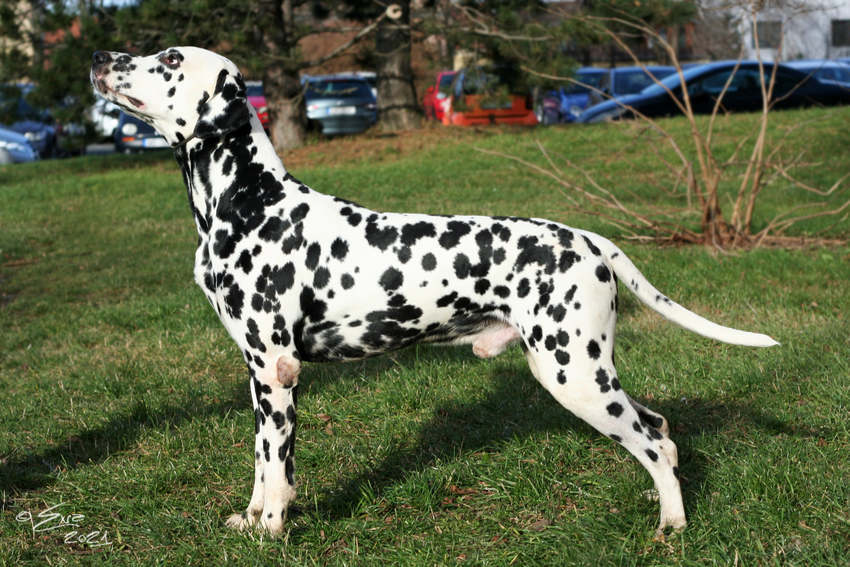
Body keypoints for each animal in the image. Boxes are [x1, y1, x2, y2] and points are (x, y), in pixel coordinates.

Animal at [90, 47, 778, 537]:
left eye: (170, 60)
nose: (100, 59)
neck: (249, 202)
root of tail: (588, 239)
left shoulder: (278, 370)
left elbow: (278, 469)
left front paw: (273, 531)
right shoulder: (258, 373)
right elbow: (261, 465)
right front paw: (250, 520)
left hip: (575, 375)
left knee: (655, 444)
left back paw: (671, 526)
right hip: (583, 374)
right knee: (662, 430)